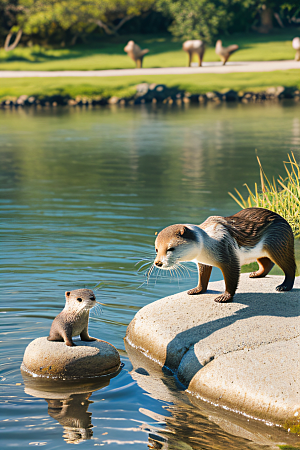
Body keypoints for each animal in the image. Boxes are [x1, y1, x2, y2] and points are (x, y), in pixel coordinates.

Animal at [154, 209, 296, 304]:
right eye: (156, 249)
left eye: (170, 249)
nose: (158, 263)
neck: (209, 241)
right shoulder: (203, 262)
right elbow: (202, 278)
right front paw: (197, 290)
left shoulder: (228, 255)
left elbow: (232, 279)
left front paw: (225, 297)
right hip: (262, 251)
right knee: (267, 263)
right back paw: (256, 274)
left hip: (279, 243)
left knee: (290, 267)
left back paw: (284, 286)